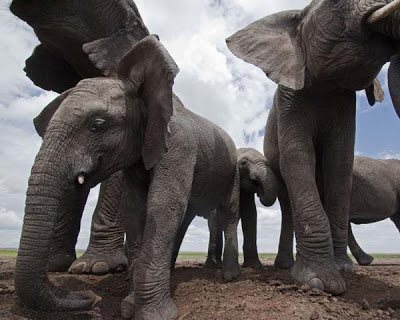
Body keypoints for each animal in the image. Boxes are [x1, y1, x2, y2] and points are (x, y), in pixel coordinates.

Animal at [227, 0, 400, 296]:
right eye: (335, 4)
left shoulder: (345, 104)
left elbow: (340, 164)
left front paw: (344, 269)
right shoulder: (289, 98)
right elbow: (298, 159)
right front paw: (321, 283)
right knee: (287, 202)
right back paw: (286, 266)